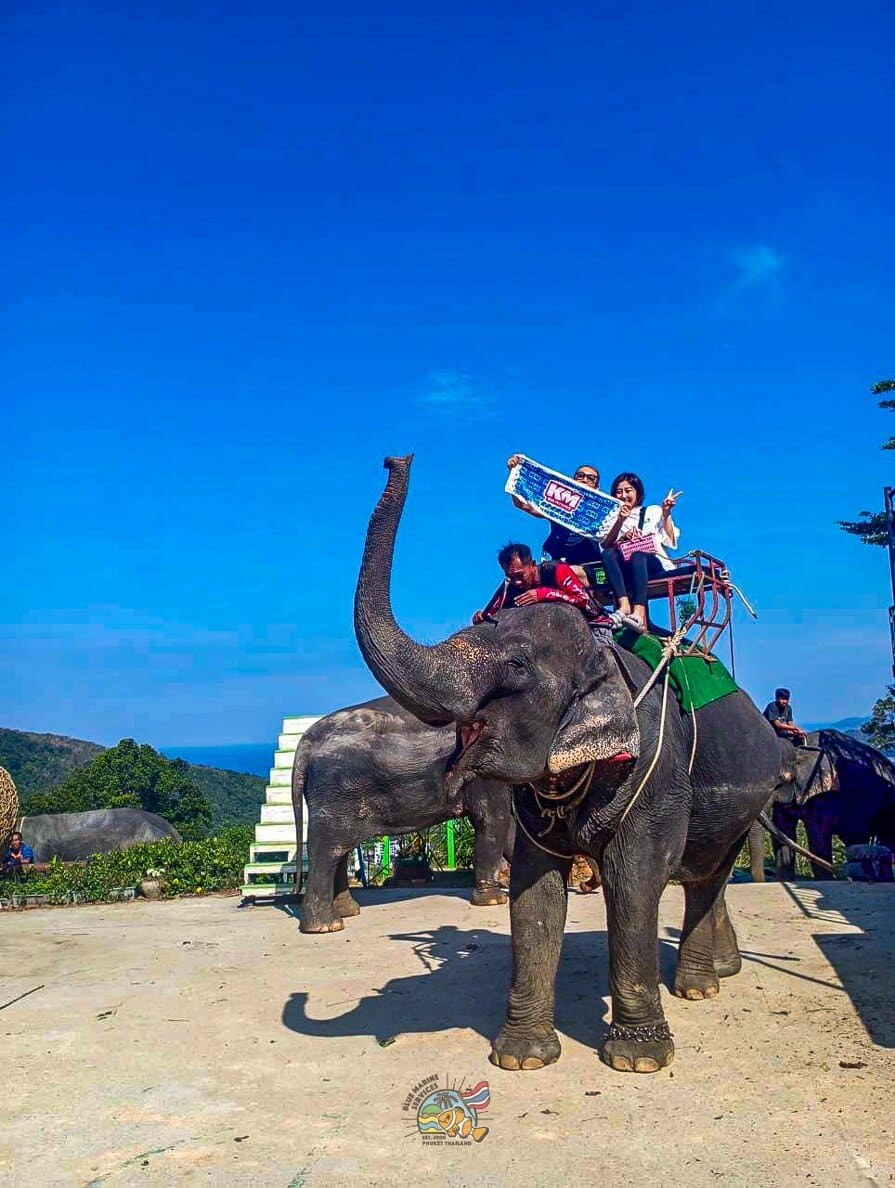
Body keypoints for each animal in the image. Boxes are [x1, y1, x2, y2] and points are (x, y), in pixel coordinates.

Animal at [292, 696, 514, 933]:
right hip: (335, 792)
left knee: (340, 851)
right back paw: (327, 926)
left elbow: (508, 825)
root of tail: (305, 745)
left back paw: (347, 912)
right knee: (327, 850)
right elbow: (493, 819)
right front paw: (494, 900)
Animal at [352, 456, 792, 1075]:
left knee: (707, 873)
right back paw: (718, 974)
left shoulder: (656, 766)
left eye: (515, 666)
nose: (399, 459)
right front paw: (521, 1058)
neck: (601, 652)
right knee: (708, 872)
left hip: (749, 790)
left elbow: (635, 878)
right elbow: (534, 891)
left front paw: (638, 1060)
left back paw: (698, 987)